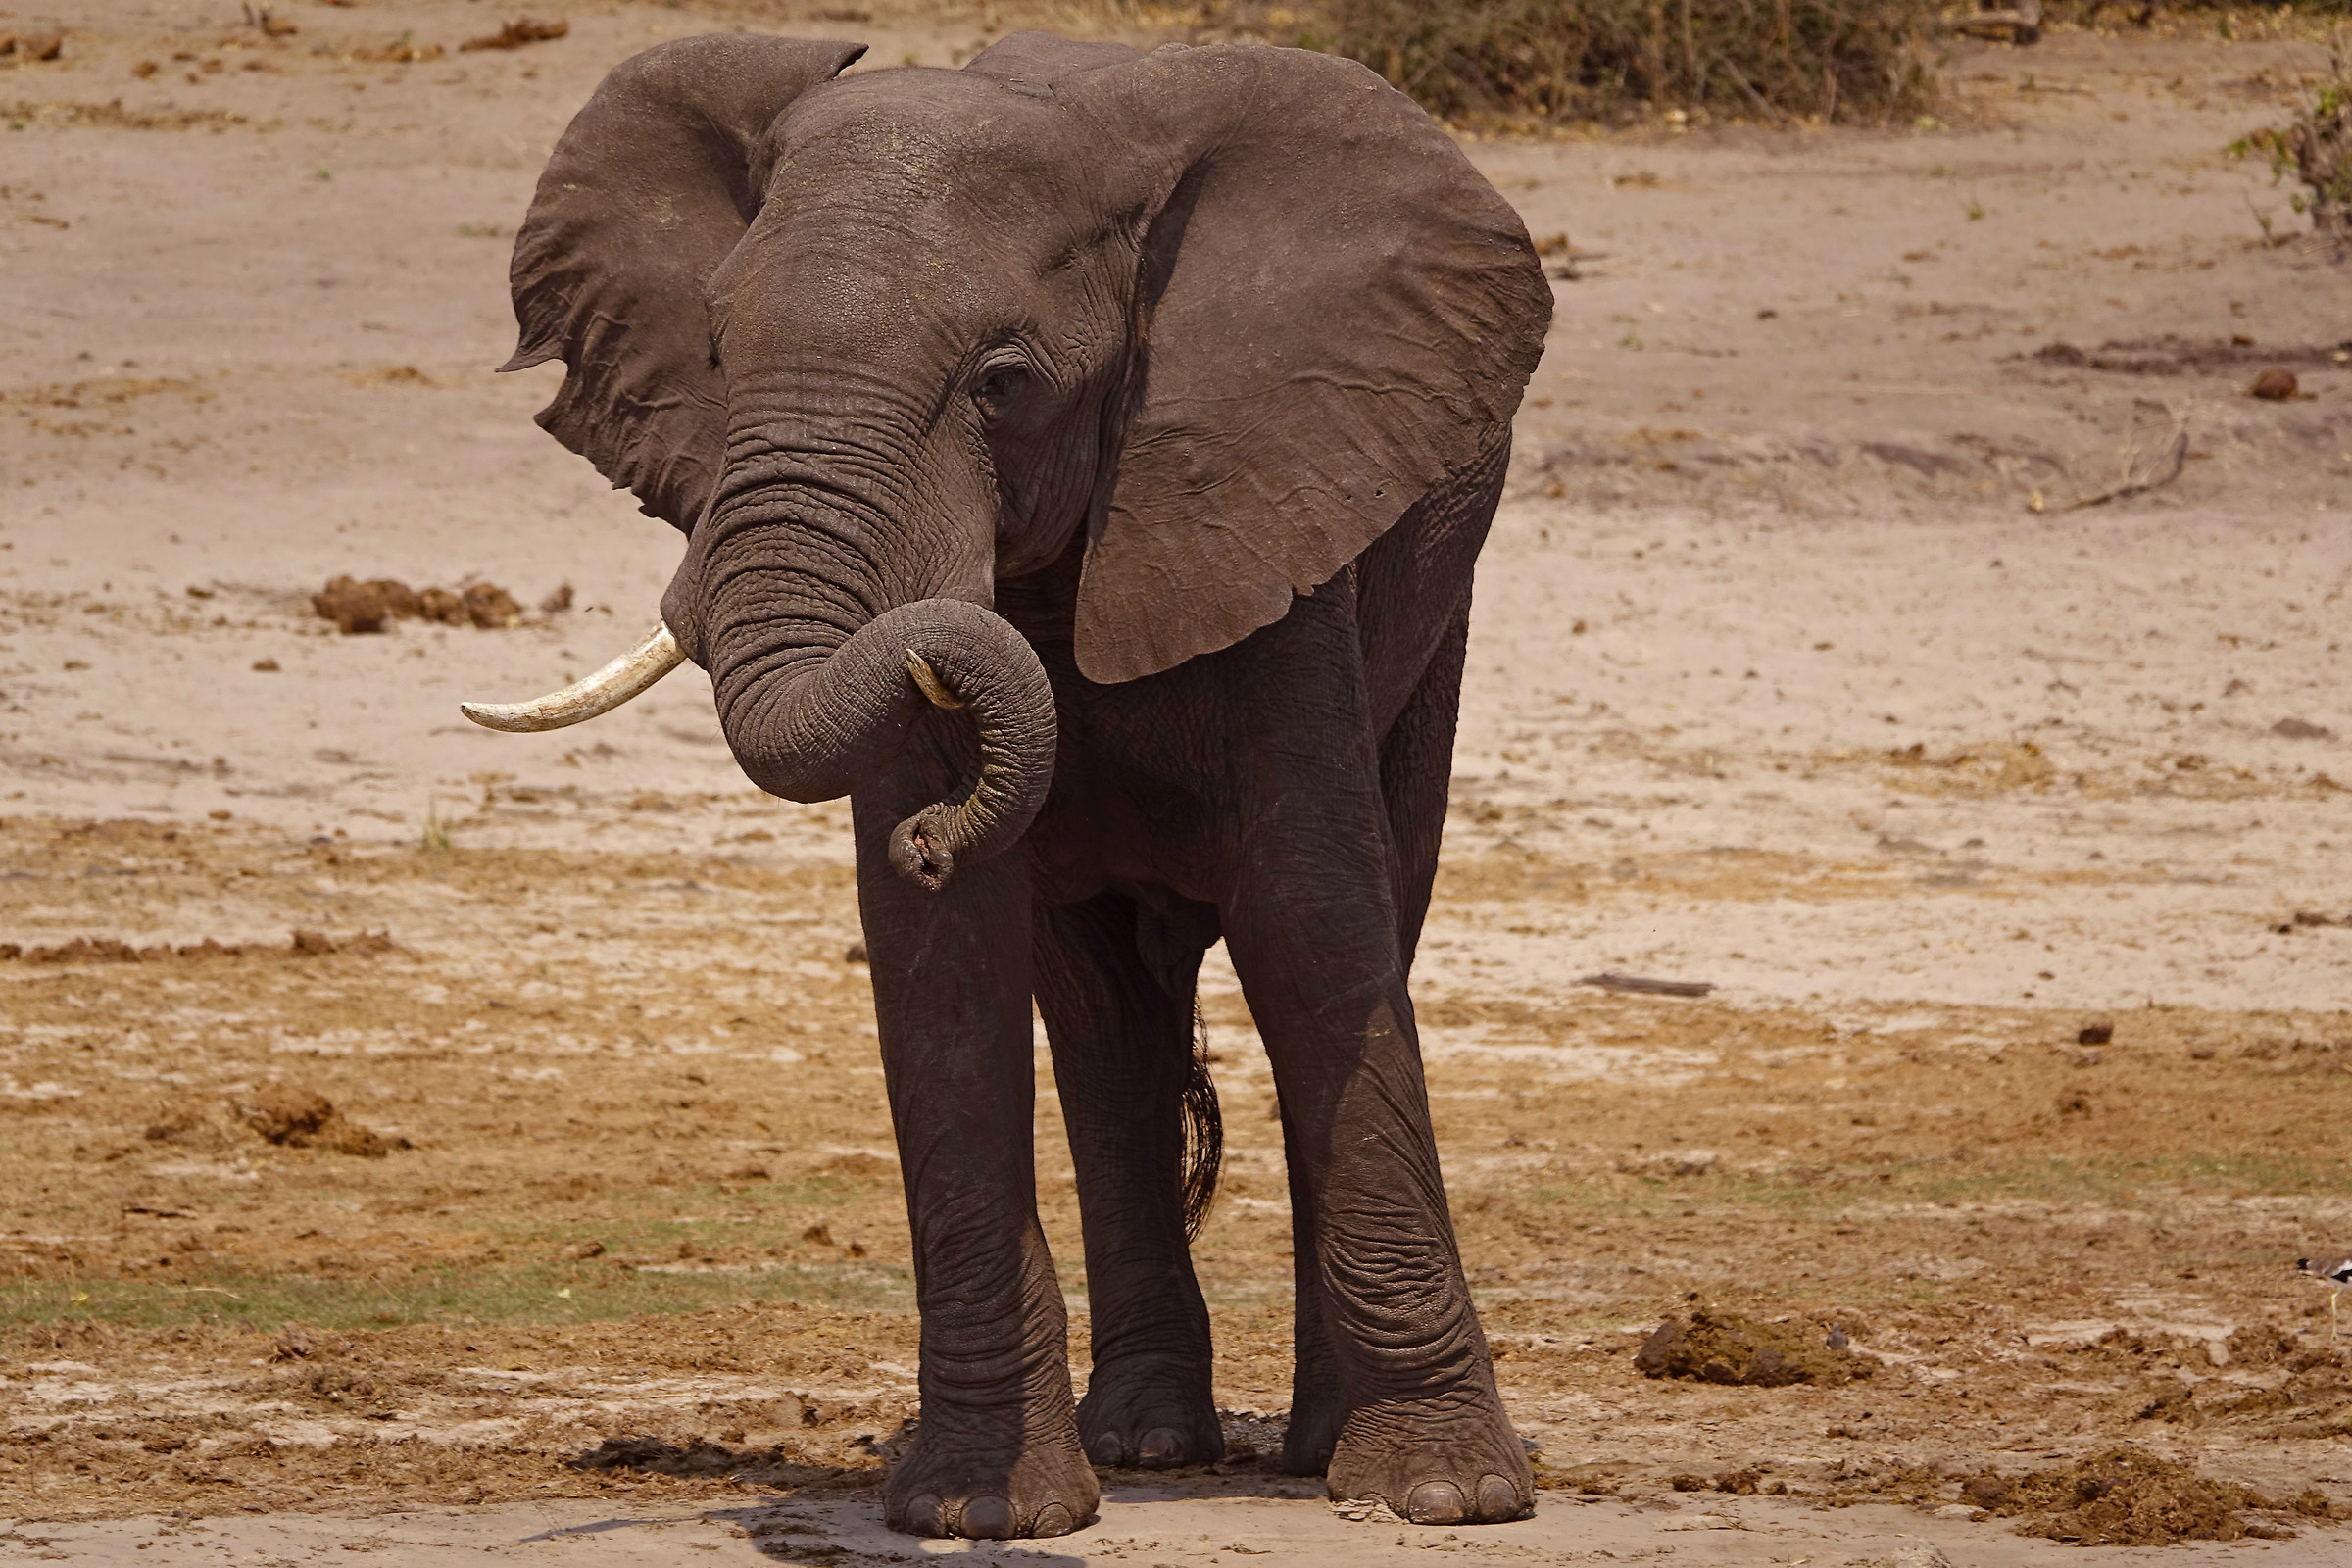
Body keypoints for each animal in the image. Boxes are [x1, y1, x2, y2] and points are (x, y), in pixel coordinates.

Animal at [458, 29, 1552, 1541]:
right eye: (720, 348)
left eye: (1003, 381)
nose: (933, 828)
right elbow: (946, 959)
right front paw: (977, 1512)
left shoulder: (1267, 497)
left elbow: (1312, 925)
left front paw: (1444, 1494)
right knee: (1099, 1013)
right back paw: (1145, 1437)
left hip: (1431, 595)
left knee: (1371, 908)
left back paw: (1313, 1443)